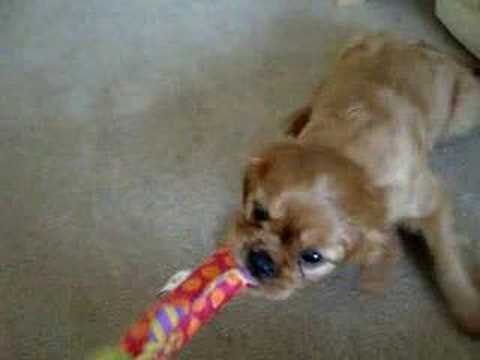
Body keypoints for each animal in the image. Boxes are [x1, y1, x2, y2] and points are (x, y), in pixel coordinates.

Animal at [227, 33, 480, 332]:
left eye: (312, 257)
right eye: (258, 212)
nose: (260, 262)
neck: (351, 158)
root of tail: (419, 43)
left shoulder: (431, 201)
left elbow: (447, 258)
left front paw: (469, 309)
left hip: (466, 114)